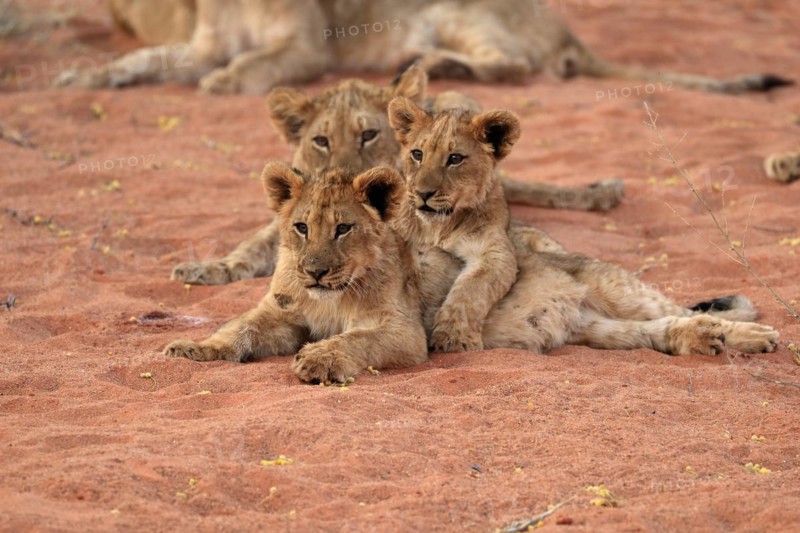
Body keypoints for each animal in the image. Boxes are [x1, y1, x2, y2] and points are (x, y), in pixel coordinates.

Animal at [165, 163, 779, 383]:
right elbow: (237, 329)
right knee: (664, 331)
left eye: (343, 228)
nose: (314, 271)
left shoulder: (404, 332)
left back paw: (756, 336)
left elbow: (355, 340)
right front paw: (194, 349)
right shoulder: (278, 315)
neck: (329, 293)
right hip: (605, 333)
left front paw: (321, 361)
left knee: (687, 307)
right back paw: (703, 339)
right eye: (299, 227)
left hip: (617, 290)